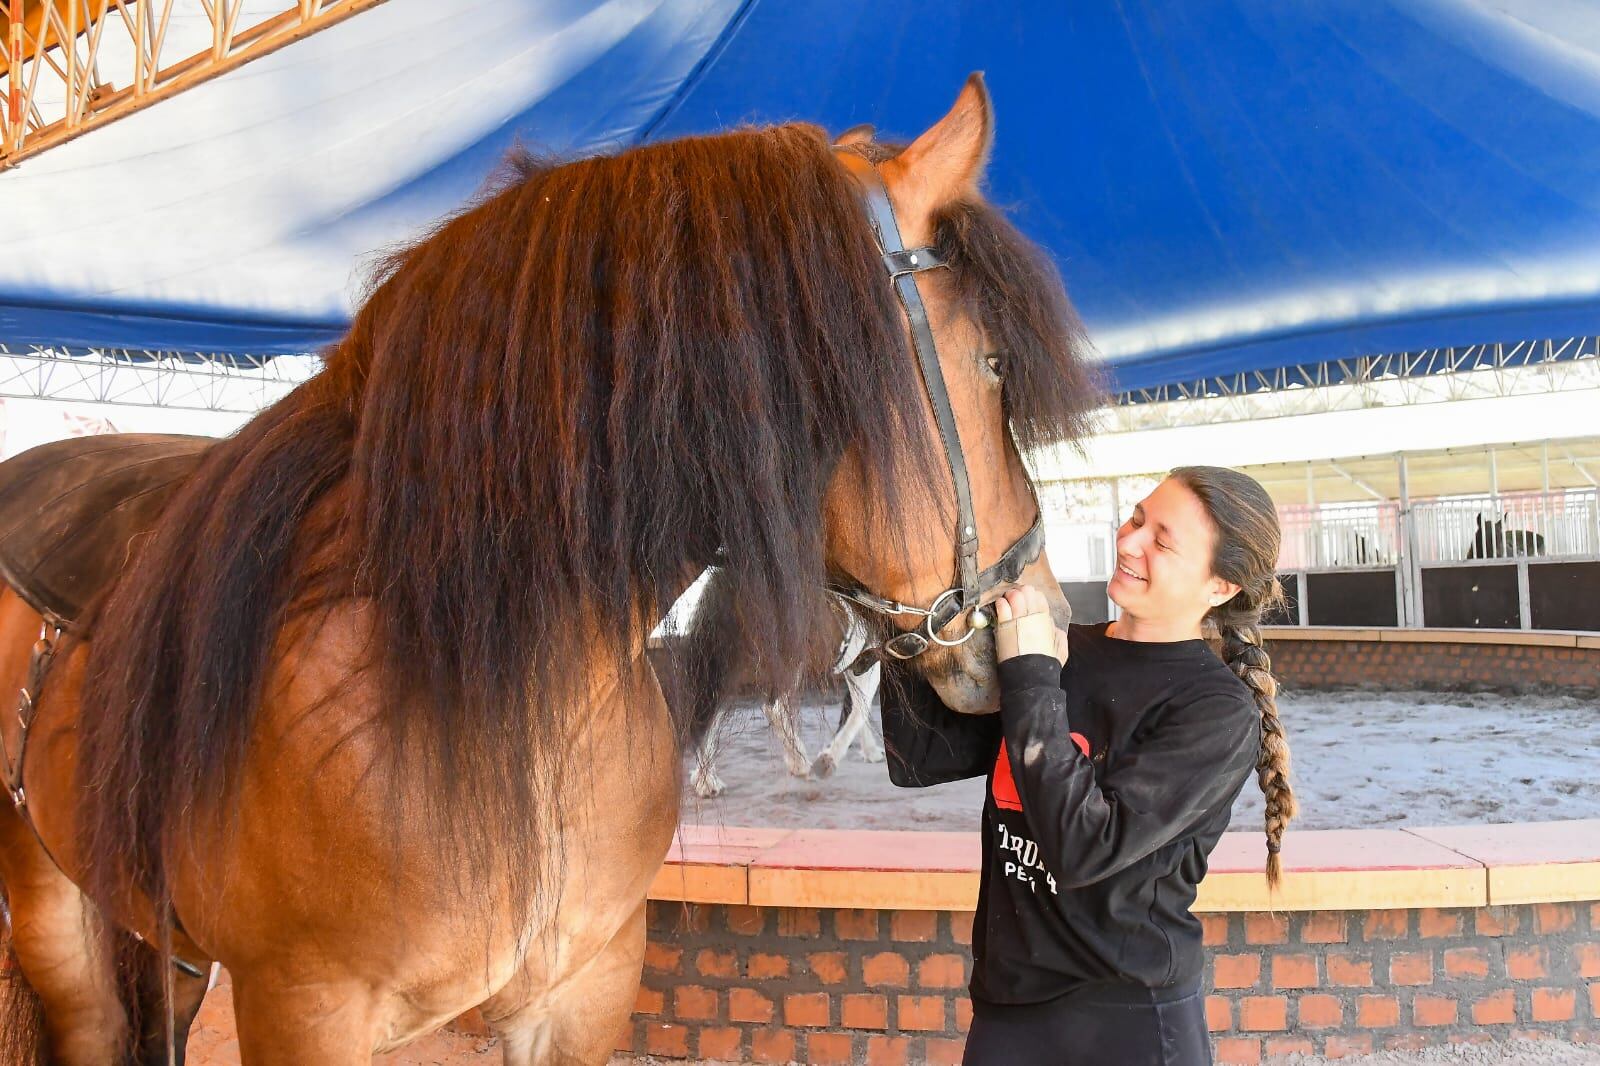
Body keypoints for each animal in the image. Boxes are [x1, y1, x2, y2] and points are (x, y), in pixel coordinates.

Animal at [0, 76, 1097, 1064]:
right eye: (993, 363)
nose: (1043, 614)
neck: (503, 689)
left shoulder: (583, 989)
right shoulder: (303, 1010)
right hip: (50, 908)